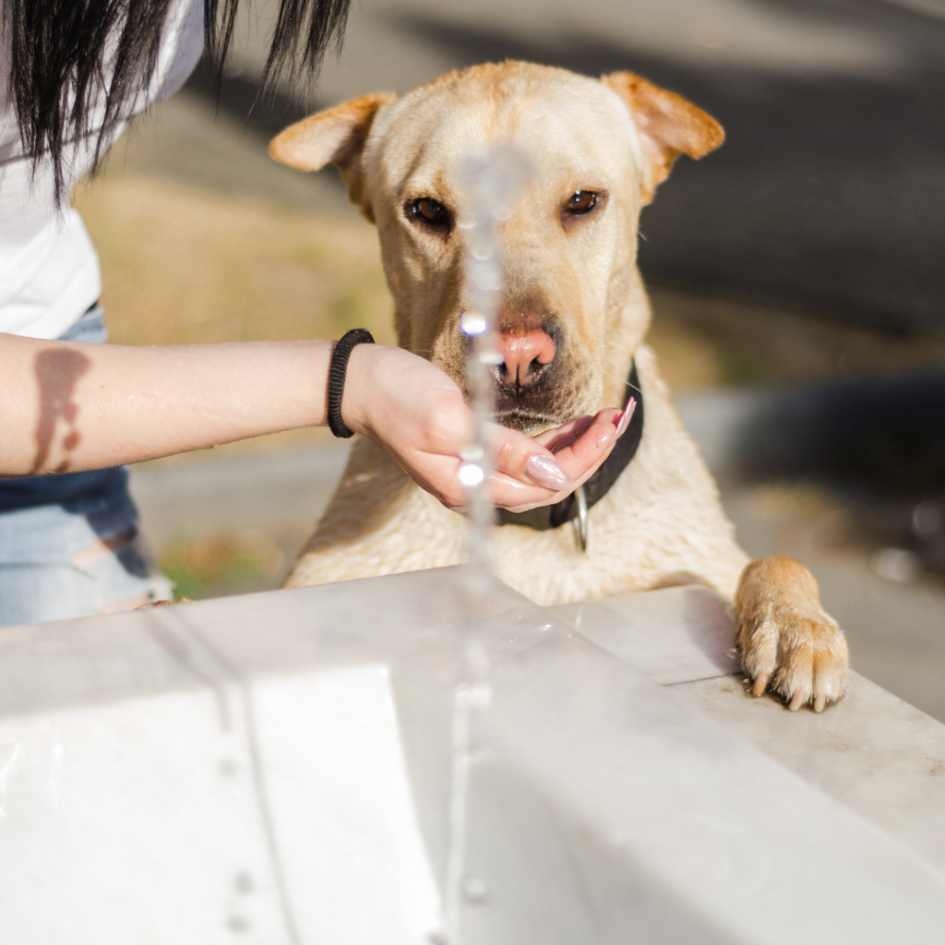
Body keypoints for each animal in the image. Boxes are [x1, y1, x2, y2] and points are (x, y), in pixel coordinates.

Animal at [266, 60, 848, 708]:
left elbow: (774, 561)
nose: (517, 356)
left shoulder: (706, 559)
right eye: (427, 211)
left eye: (583, 202)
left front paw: (796, 627)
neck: (531, 530)